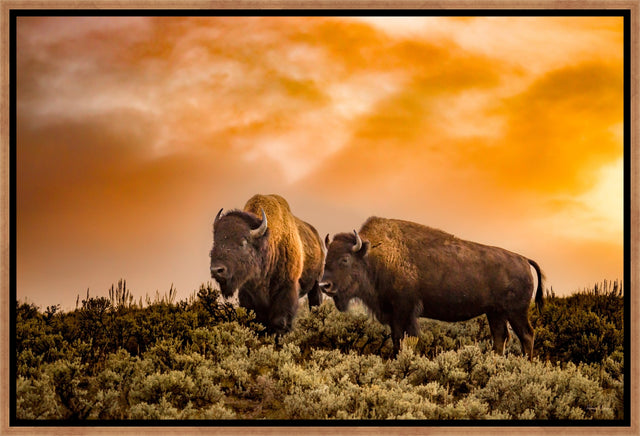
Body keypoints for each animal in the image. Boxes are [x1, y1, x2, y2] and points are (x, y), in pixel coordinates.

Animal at [210, 194, 324, 334]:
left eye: (243, 242)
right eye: (215, 242)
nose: (216, 270)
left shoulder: (287, 289)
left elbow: (280, 321)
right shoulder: (247, 293)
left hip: (316, 284)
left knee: (315, 303)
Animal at [320, 217, 544, 359]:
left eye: (345, 259)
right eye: (327, 258)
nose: (324, 285)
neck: (376, 256)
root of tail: (523, 259)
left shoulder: (404, 311)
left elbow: (404, 339)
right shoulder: (394, 315)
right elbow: (397, 340)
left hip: (516, 312)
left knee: (526, 334)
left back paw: (526, 364)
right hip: (495, 312)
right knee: (500, 336)